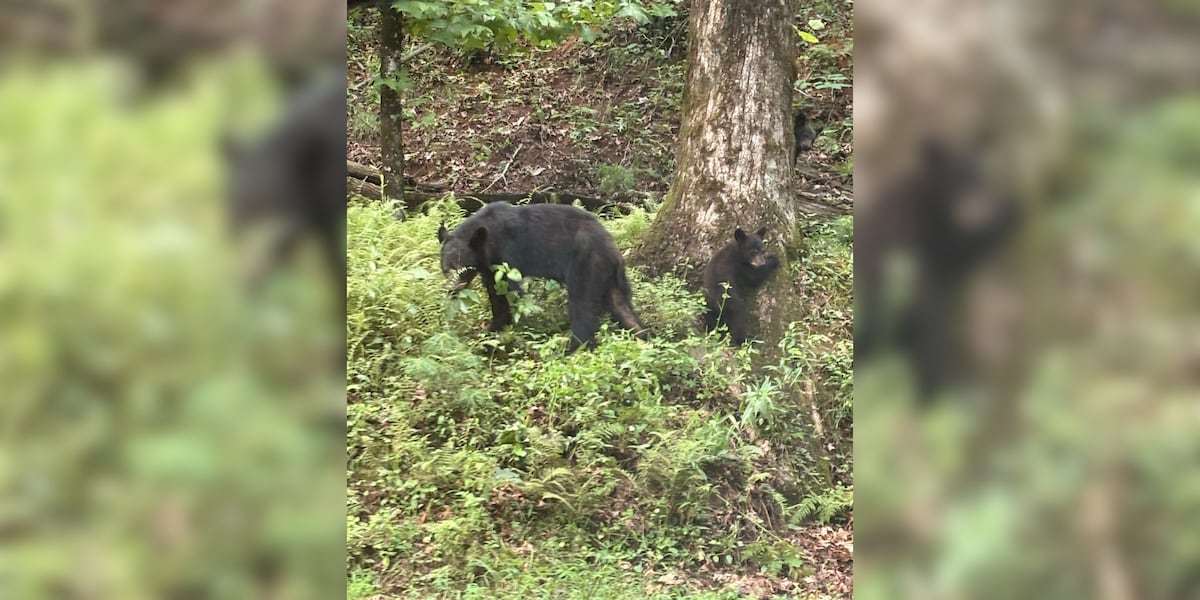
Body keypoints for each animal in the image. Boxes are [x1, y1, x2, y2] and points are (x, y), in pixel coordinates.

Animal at [437, 203, 647, 352]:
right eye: (446, 269)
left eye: (463, 268)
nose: (452, 289)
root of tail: (613, 251)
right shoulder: (489, 267)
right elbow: (497, 296)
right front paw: (493, 329)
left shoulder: (506, 256)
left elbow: (514, 294)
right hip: (609, 277)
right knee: (621, 306)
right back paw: (642, 338)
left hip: (586, 264)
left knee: (582, 308)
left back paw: (574, 350)